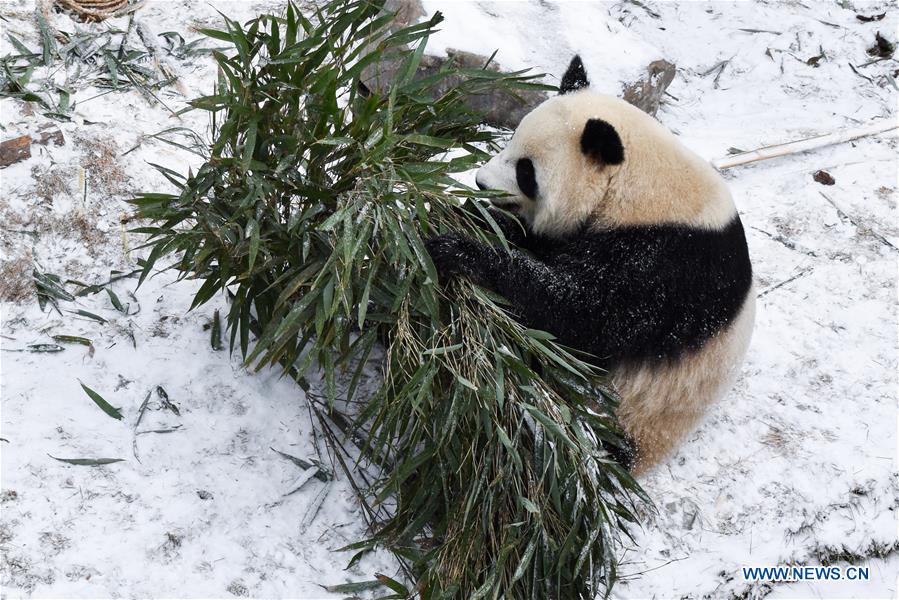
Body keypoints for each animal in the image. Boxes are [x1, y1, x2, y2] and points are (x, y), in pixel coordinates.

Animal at [426, 55, 756, 474]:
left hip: (636, 413)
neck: (639, 186)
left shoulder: (666, 266)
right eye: (511, 137)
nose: (482, 183)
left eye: (526, 171)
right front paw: (470, 213)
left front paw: (461, 250)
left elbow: (581, 315)